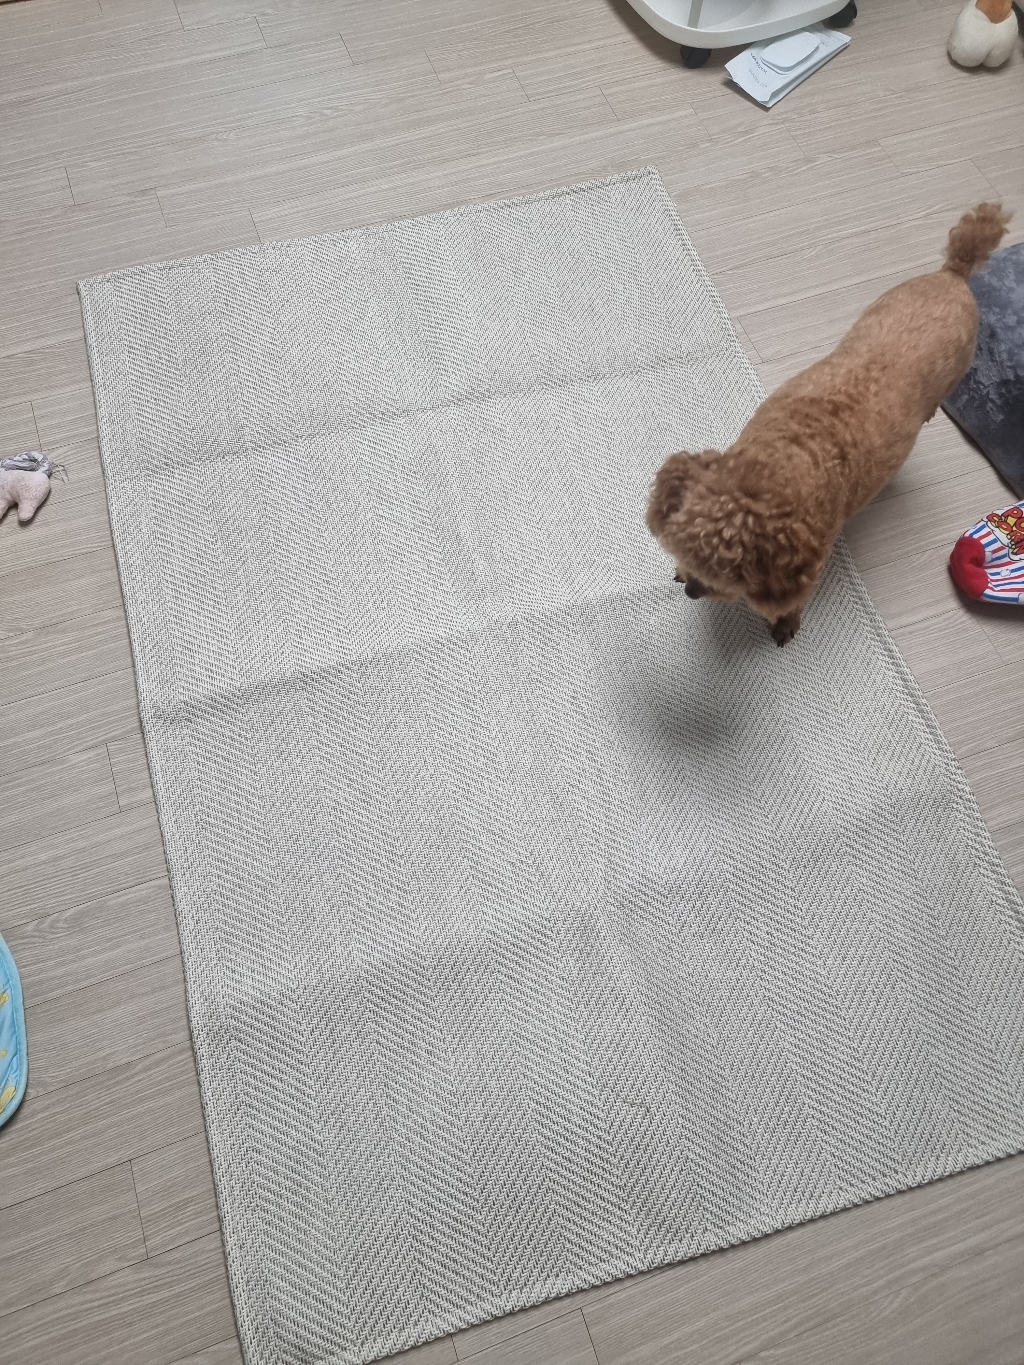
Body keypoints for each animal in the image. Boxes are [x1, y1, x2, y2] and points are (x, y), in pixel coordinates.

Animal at [646, 203, 1011, 645]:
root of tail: (954, 273)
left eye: (733, 574)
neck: (791, 452)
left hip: (956, 372)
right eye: (685, 547)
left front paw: (785, 622)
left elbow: (794, 599)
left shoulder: (811, 556)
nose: (693, 592)